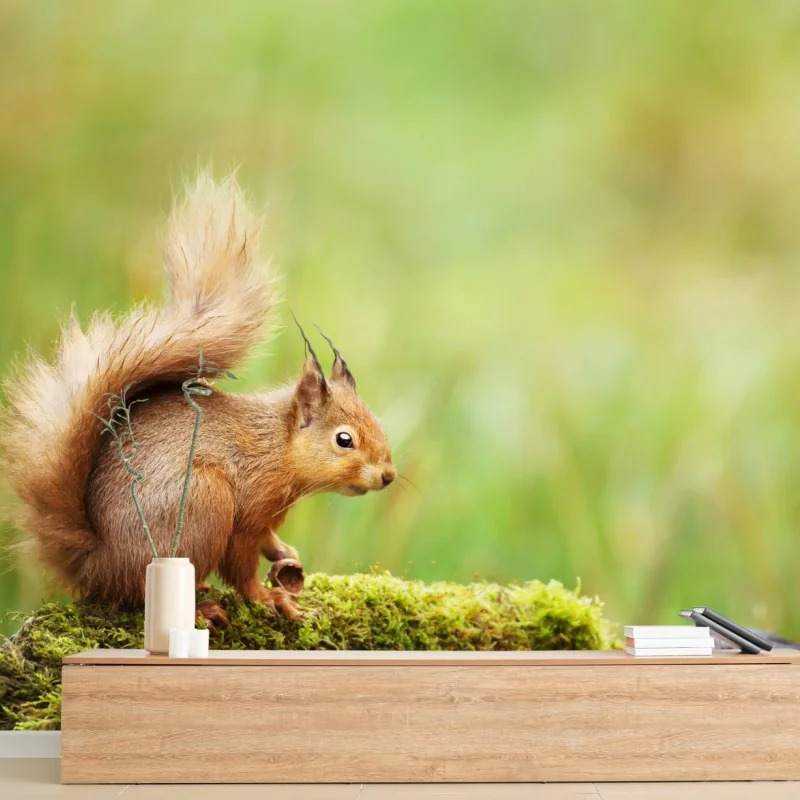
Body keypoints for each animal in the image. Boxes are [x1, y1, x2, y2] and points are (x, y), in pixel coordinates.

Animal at [0, 172, 396, 624]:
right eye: (344, 440)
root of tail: (96, 564)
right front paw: (268, 598)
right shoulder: (247, 509)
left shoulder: (265, 517)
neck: (277, 447)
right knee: (144, 593)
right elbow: (241, 564)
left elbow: (267, 540)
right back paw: (198, 608)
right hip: (204, 503)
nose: (388, 475)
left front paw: (285, 553)